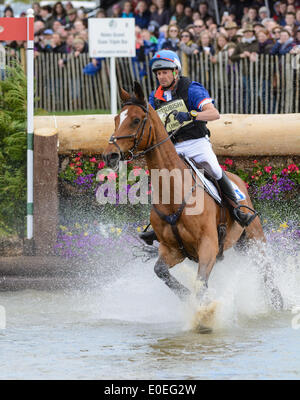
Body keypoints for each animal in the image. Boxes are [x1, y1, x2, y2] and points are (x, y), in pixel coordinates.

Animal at [103, 82, 284, 332]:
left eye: (136, 120)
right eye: (116, 118)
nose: (110, 155)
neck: (173, 193)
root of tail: (237, 179)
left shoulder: (207, 245)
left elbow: (201, 284)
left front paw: (204, 316)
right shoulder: (173, 250)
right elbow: (162, 273)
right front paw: (190, 302)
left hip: (254, 236)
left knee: (266, 268)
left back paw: (277, 304)